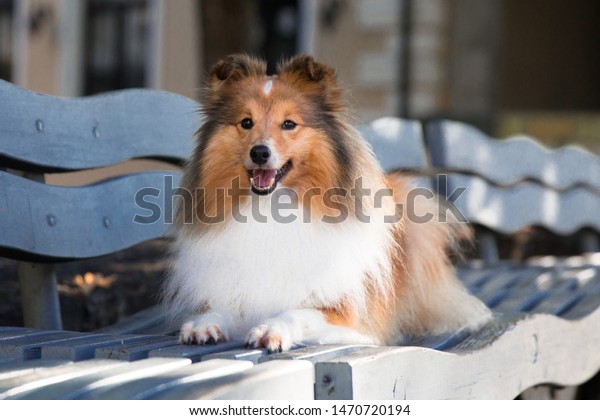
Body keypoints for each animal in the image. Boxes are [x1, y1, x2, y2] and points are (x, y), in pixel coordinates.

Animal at [162, 54, 490, 352]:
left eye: (289, 123)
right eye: (246, 122)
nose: (259, 153)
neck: (273, 209)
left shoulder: (352, 319)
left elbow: (298, 312)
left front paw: (272, 329)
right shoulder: (234, 291)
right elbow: (221, 308)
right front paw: (204, 324)